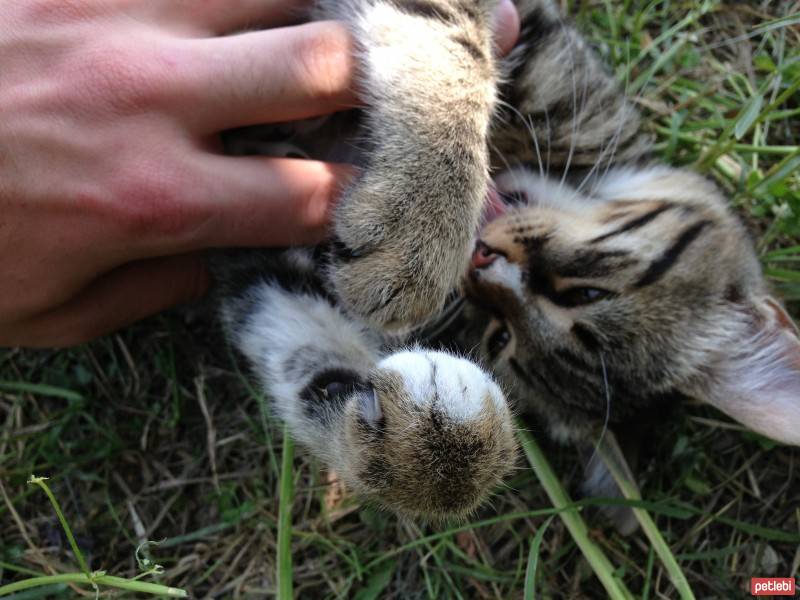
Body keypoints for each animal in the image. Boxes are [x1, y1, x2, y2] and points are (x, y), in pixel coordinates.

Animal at [214, 0, 800, 516]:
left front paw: (425, 461)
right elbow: (455, 42)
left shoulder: (255, 257)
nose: (481, 260)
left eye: (498, 338)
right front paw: (417, 221)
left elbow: (302, 357)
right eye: (583, 292)